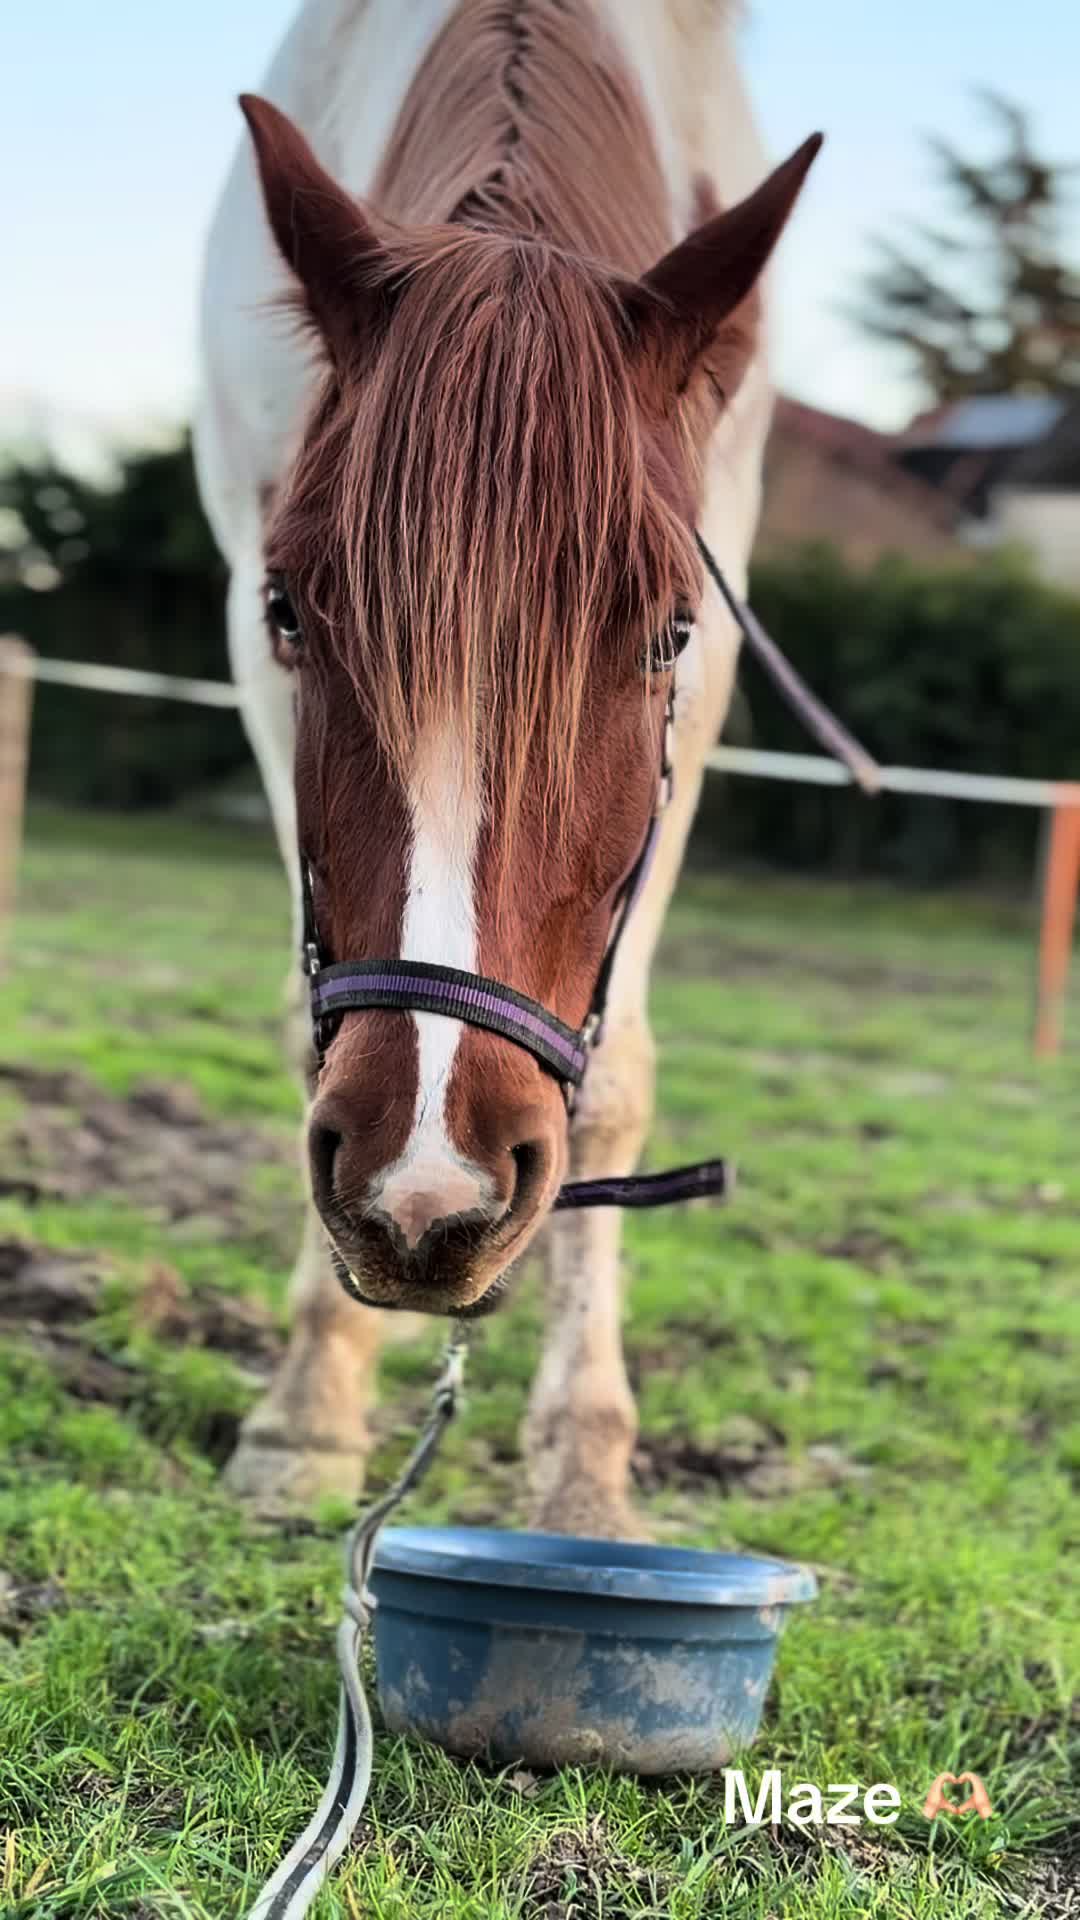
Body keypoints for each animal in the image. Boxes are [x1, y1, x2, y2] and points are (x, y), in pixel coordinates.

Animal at [194, 0, 819, 1540]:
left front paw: (586, 1465)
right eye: (294, 611)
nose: (426, 1194)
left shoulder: (716, 651)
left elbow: (622, 1078)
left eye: (665, 631)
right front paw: (308, 1408)